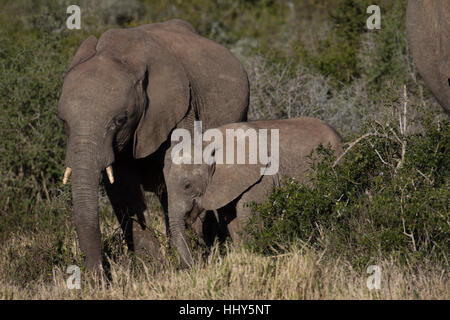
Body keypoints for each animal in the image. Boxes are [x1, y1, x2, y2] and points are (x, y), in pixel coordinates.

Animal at [58, 19, 250, 272]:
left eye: (120, 120)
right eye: (63, 121)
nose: (98, 276)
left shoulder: (182, 108)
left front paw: (193, 261)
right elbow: (122, 188)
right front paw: (151, 269)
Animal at [163, 117, 342, 268]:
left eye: (187, 185)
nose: (190, 266)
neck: (206, 144)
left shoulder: (262, 177)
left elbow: (248, 216)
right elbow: (231, 220)